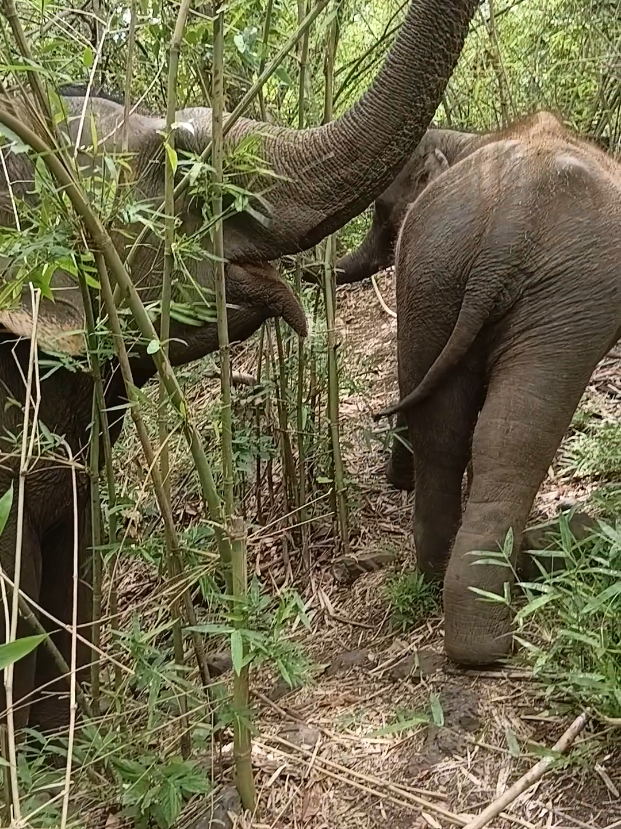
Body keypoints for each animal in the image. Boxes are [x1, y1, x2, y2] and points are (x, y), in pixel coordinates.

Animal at [376, 110, 621, 666]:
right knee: (517, 439)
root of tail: (507, 226)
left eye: (382, 209)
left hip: (432, 271)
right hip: (567, 298)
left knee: (447, 432)